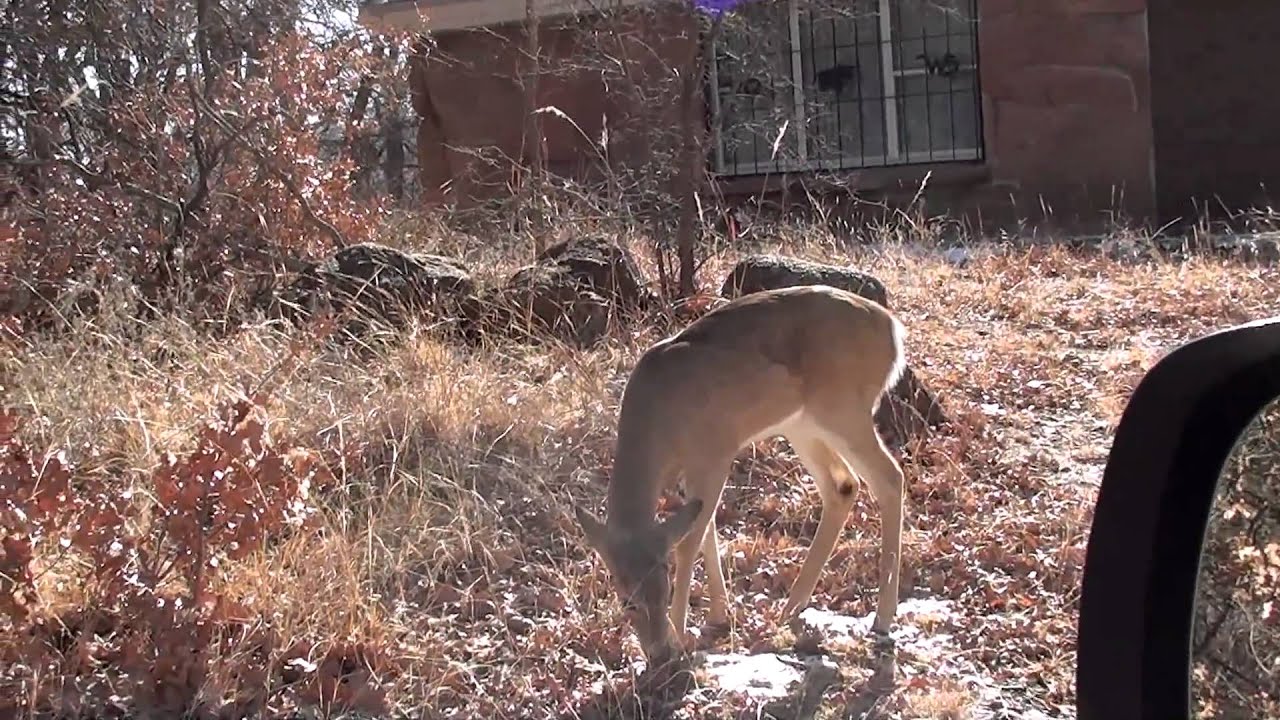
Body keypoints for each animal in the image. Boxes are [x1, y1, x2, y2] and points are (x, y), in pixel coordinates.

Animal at [574, 283, 908, 667]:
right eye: (627, 600)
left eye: (666, 588)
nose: (657, 653)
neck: (659, 422)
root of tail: (894, 330)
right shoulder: (694, 468)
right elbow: (705, 530)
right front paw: (719, 615)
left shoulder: (715, 451)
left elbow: (690, 540)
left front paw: (681, 634)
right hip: (801, 422)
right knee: (843, 485)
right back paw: (792, 607)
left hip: (843, 407)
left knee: (889, 477)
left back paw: (882, 618)